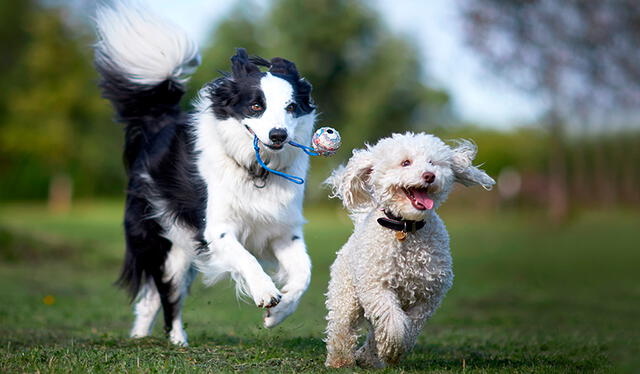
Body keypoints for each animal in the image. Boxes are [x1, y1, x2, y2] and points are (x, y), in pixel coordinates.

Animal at [94, 2, 316, 344]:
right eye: (256, 106)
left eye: (292, 107)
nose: (278, 135)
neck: (256, 171)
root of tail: (160, 121)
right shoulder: (216, 228)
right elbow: (246, 257)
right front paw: (265, 291)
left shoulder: (283, 229)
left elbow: (305, 271)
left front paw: (279, 312)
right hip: (169, 244)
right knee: (167, 295)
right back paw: (177, 340)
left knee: (151, 298)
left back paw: (141, 337)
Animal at [324, 132, 496, 368]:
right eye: (405, 162)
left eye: (432, 162)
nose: (429, 175)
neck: (406, 227)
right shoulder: (377, 287)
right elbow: (394, 323)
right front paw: (392, 349)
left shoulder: (428, 295)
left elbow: (411, 325)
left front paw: (391, 351)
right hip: (346, 296)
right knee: (342, 327)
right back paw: (340, 360)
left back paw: (368, 357)